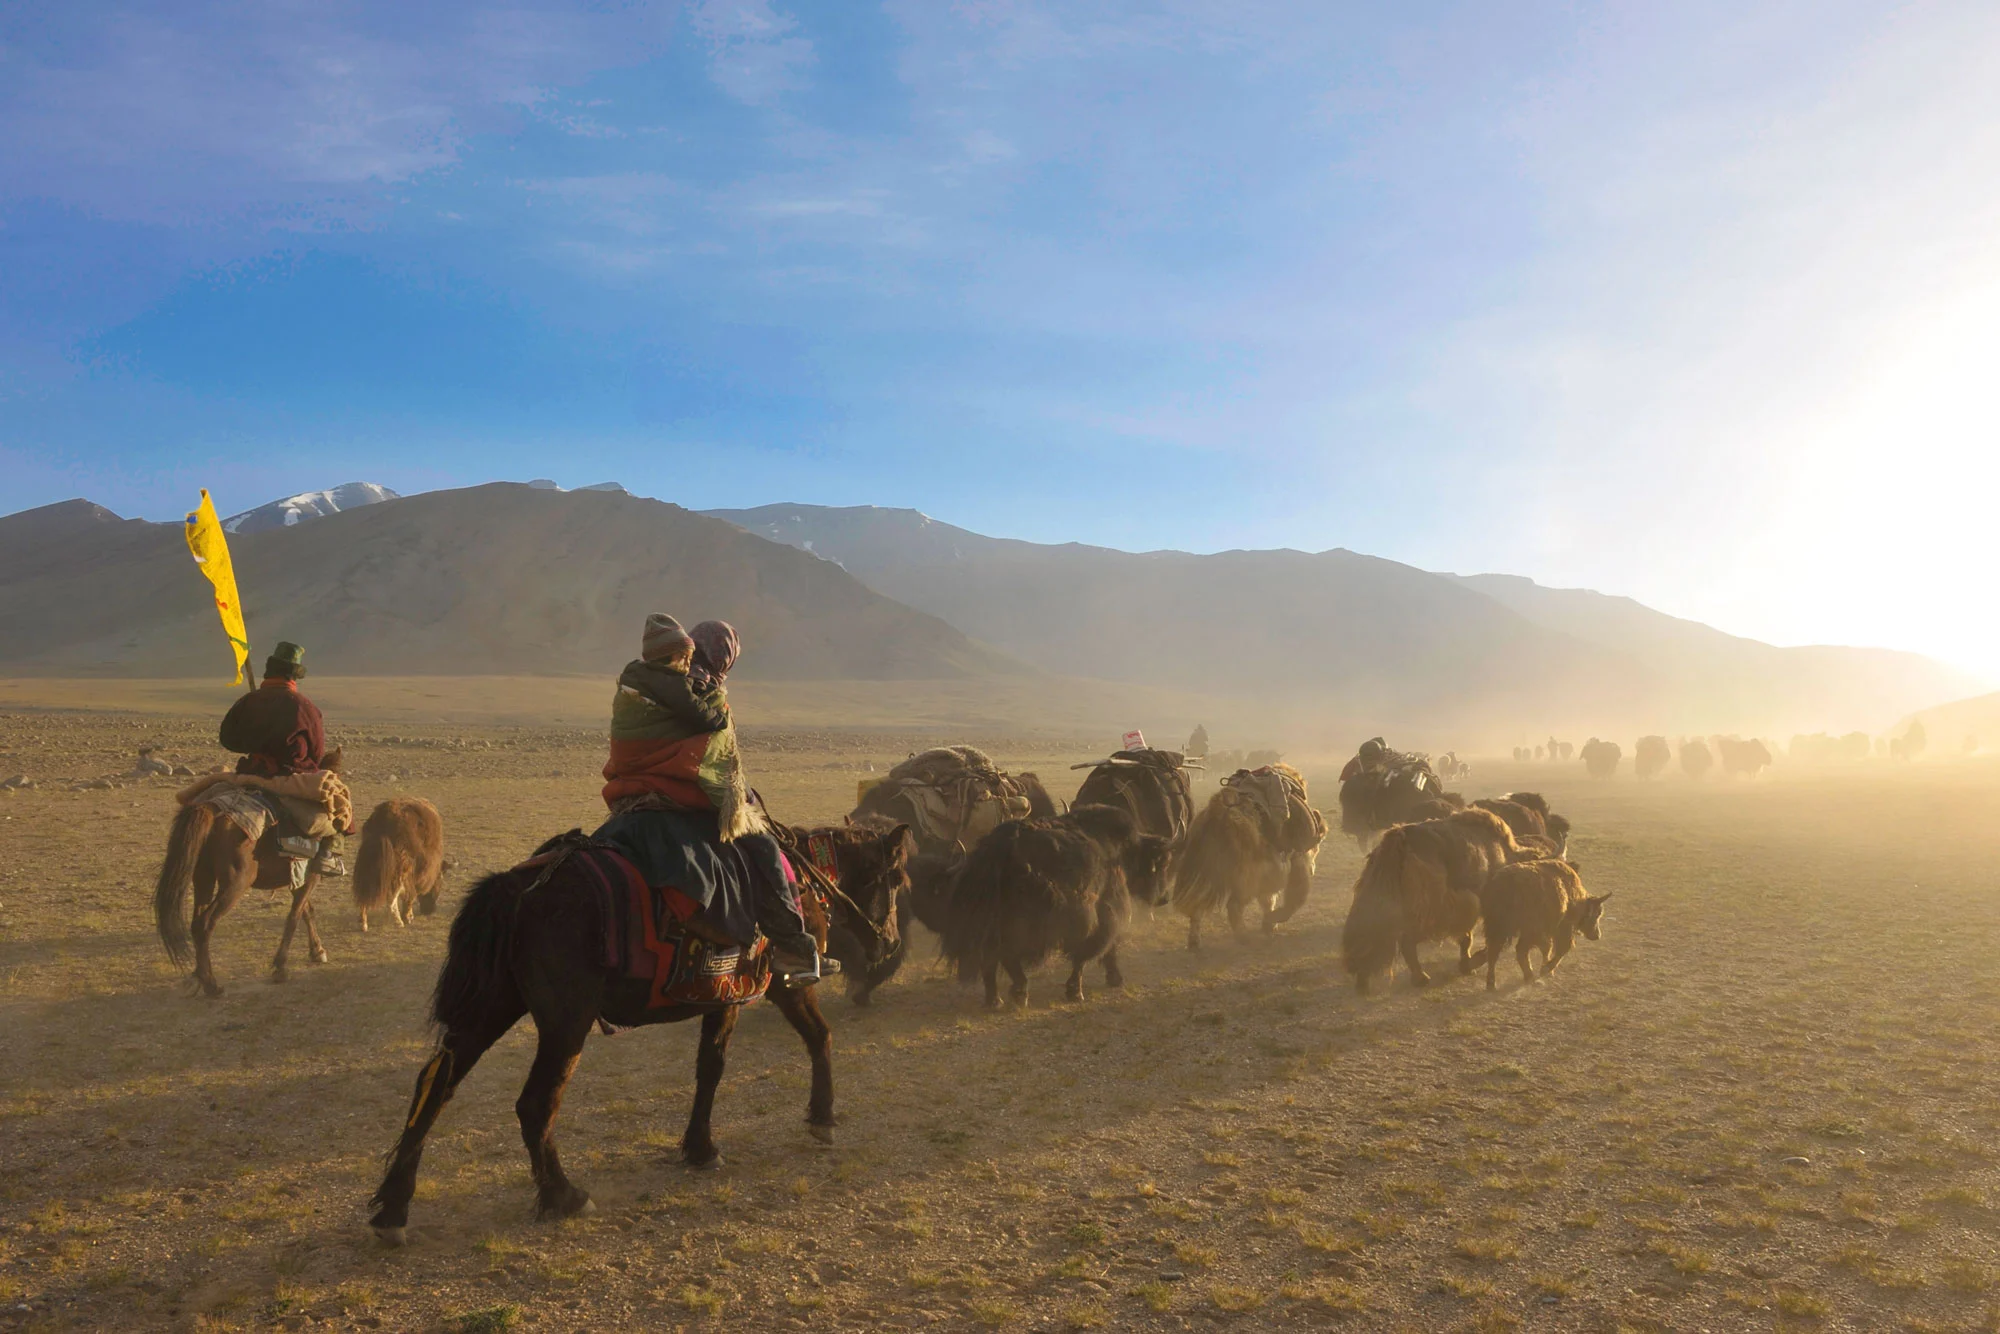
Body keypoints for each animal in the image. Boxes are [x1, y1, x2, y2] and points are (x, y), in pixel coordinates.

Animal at [152, 752, 348, 992]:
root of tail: (211, 807)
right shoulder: (309, 876)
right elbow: (295, 916)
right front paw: (280, 967)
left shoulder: (298, 876)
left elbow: (306, 911)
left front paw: (317, 951)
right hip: (237, 882)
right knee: (204, 924)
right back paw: (211, 985)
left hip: (203, 877)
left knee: (196, 921)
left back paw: (198, 975)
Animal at [352, 800, 450, 936]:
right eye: (440, 880)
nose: (429, 911)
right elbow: (409, 893)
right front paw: (408, 916)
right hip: (399, 868)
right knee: (392, 895)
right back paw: (398, 922)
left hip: (369, 864)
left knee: (365, 892)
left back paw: (363, 923)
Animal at [368, 820, 908, 1248]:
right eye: (896, 880)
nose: (890, 943)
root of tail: (513, 888)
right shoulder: (783, 986)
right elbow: (819, 1038)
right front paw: (823, 1117)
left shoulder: (723, 997)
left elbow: (709, 1067)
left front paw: (699, 1148)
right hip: (566, 1022)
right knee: (534, 1104)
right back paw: (564, 1196)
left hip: (489, 1010)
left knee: (434, 1087)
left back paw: (392, 1209)